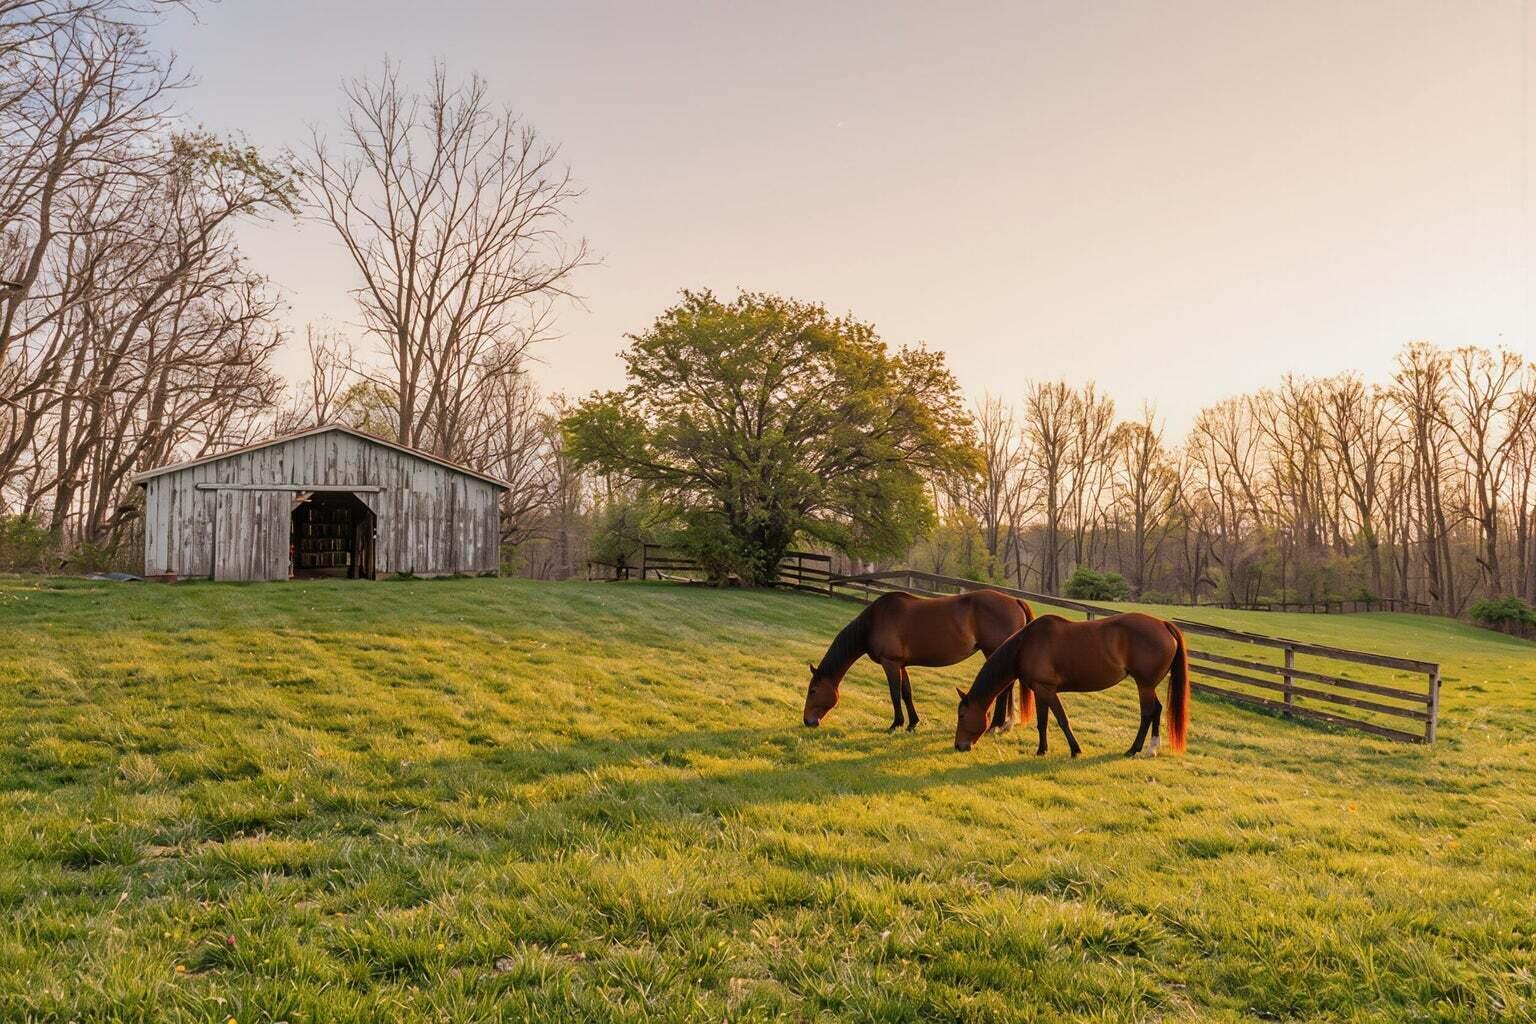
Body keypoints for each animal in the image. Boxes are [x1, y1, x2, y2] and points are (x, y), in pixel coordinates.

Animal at [802, 590, 1035, 733]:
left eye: (813, 691)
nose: (807, 721)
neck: (874, 622)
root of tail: (1015, 601)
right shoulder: (901, 665)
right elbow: (907, 693)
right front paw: (912, 723)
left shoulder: (890, 663)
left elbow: (895, 694)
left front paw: (896, 724)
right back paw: (1001, 724)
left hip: (993, 652)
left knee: (1003, 689)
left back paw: (995, 725)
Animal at [952, 612, 1190, 757]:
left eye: (962, 715)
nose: (959, 746)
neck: (1025, 646)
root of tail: (1164, 625)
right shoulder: (1040, 691)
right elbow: (1042, 722)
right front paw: (1042, 750)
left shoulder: (1048, 690)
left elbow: (1062, 719)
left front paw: (1075, 750)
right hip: (1148, 685)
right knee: (1157, 709)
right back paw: (1151, 749)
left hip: (1144, 685)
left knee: (1148, 712)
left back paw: (1133, 749)